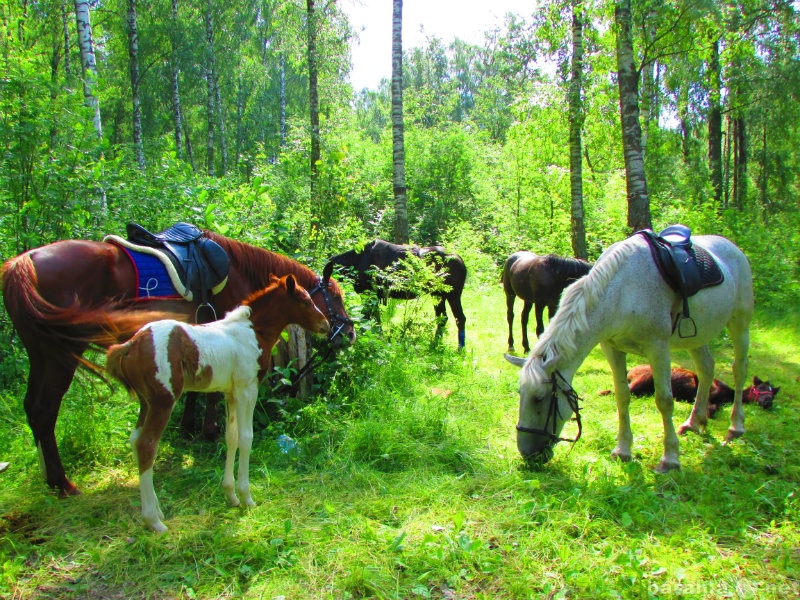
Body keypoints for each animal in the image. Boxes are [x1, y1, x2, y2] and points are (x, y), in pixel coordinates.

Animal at [0, 230, 356, 496]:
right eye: (335, 297)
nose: (349, 333)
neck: (237, 272)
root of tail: (23, 262)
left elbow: (196, 391)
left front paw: (188, 429)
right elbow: (210, 396)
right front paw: (209, 431)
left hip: (41, 353)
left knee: (33, 407)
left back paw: (50, 477)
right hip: (59, 354)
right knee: (45, 409)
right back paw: (63, 482)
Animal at [106, 274, 328, 532]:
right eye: (305, 301)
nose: (325, 325)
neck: (253, 332)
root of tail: (132, 344)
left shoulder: (230, 393)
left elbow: (231, 437)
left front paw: (230, 495)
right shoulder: (247, 389)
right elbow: (246, 438)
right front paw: (246, 497)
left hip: (146, 402)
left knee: (135, 439)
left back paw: (158, 512)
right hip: (163, 401)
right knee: (147, 445)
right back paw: (153, 520)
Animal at [324, 237, 466, 344]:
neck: (355, 261)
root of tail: (461, 261)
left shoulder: (370, 295)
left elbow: (372, 318)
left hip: (452, 294)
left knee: (459, 318)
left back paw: (459, 349)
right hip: (438, 295)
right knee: (443, 318)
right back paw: (435, 344)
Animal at [504, 232, 752, 472]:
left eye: (539, 398)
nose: (527, 454)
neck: (623, 291)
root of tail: (732, 247)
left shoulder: (658, 348)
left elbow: (664, 401)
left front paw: (670, 459)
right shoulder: (612, 348)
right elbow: (622, 396)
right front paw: (623, 450)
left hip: (739, 322)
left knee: (739, 370)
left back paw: (735, 427)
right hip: (697, 337)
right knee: (706, 369)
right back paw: (694, 422)